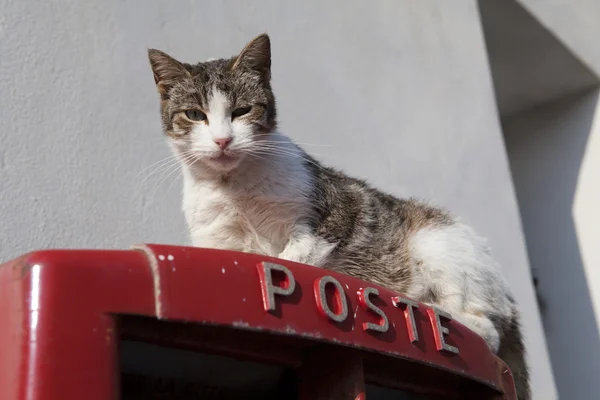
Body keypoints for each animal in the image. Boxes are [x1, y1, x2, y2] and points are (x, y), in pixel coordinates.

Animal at [149, 32, 528, 398]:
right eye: (195, 114)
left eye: (242, 111)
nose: (222, 140)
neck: (234, 187)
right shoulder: (217, 241)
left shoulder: (332, 219)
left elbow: (292, 257)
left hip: (437, 244)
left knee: (485, 330)